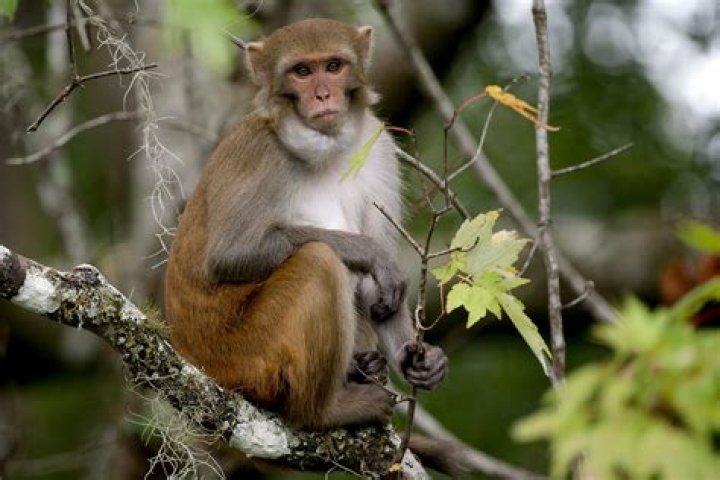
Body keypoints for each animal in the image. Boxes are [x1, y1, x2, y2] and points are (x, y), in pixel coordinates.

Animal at [164, 18, 460, 474]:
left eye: (333, 66)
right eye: (302, 72)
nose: (322, 95)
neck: (327, 148)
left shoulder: (378, 149)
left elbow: (379, 292)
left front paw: (420, 361)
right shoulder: (260, 152)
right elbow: (230, 256)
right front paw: (372, 254)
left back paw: (363, 368)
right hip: (244, 356)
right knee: (319, 262)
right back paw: (326, 411)